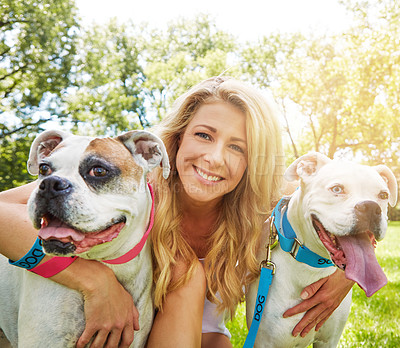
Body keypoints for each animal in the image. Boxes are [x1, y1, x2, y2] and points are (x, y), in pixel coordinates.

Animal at [247, 152, 396, 348]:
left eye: (383, 194)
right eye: (337, 189)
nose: (371, 207)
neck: (308, 267)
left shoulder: (329, 340)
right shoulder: (265, 342)